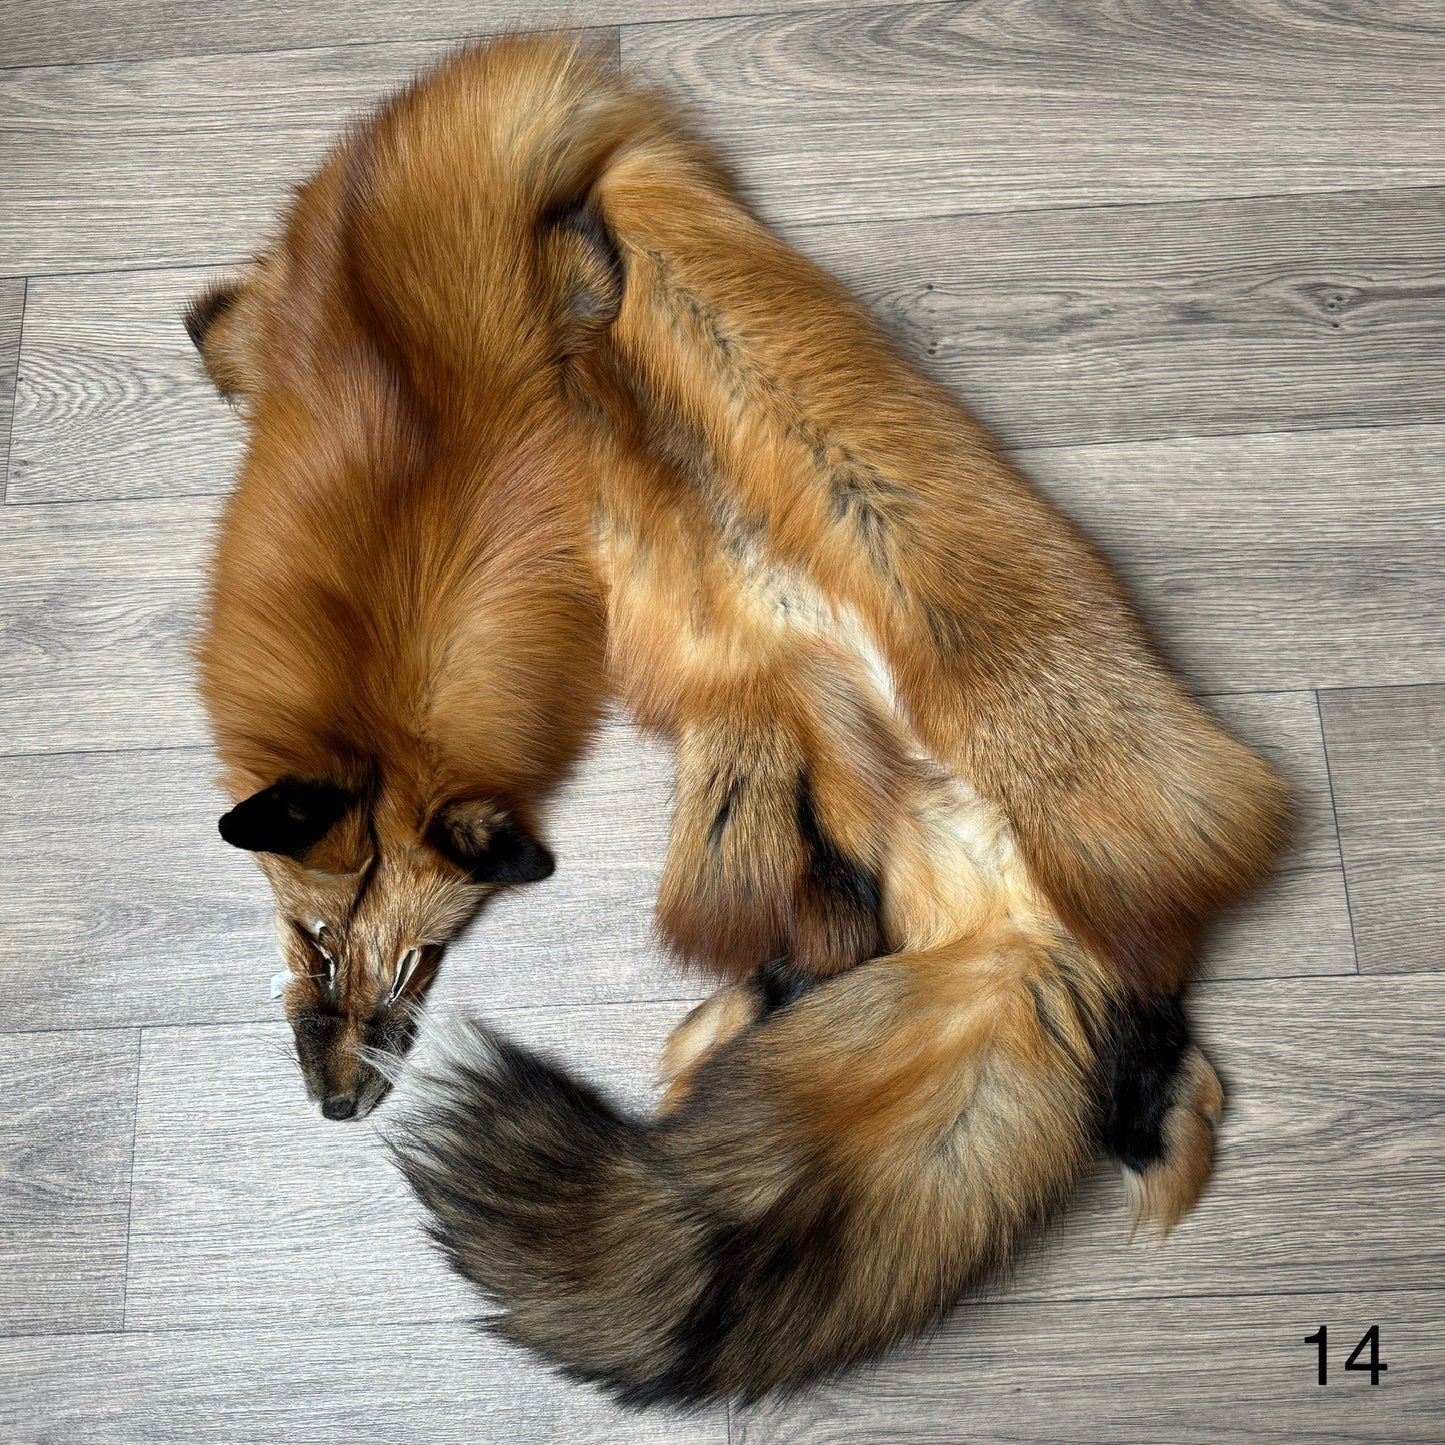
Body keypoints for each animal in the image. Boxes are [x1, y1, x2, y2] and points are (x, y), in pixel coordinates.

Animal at [188, 35, 1288, 1400]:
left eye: (412, 963)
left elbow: (261, 329)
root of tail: (1020, 905)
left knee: (1144, 1032)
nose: (341, 1108)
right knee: (846, 956)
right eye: (317, 942)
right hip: (765, 792)